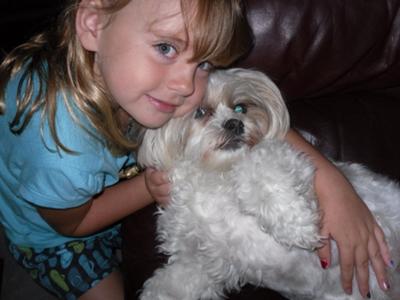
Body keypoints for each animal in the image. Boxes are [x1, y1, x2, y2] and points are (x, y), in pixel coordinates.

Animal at [136, 68, 398, 300]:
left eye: (240, 108)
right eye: (200, 112)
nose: (234, 123)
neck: (215, 177)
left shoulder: (296, 166)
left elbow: (256, 166)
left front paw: (297, 228)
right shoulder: (200, 264)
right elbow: (170, 284)